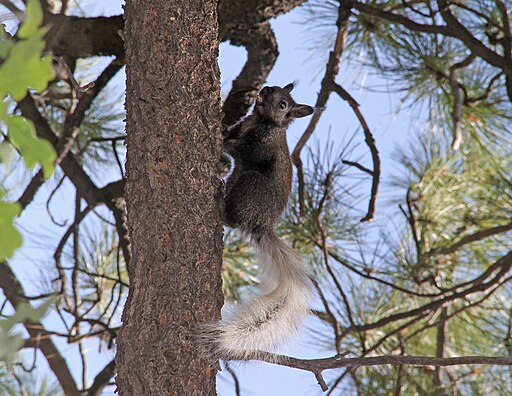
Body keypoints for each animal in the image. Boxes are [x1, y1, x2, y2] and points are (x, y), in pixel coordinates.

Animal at [200, 83, 316, 358]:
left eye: (283, 104)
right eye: (275, 86)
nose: (264, 89)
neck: (261, 121)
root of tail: (262, 224)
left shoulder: (259, 146)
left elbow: (240, 148)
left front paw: (222, 137)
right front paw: (222, 124)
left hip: (249, 184)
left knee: (233, 220)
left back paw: (219, 202)